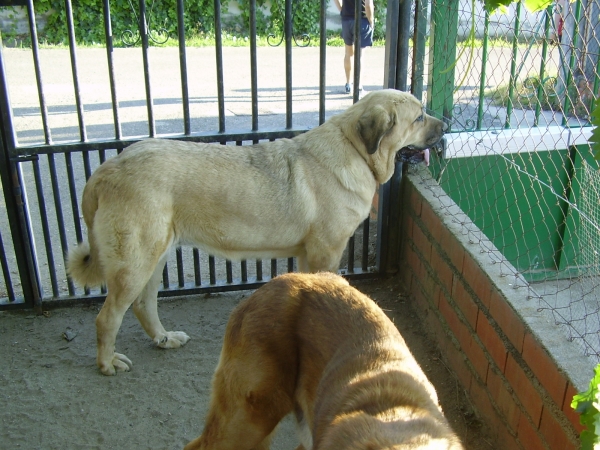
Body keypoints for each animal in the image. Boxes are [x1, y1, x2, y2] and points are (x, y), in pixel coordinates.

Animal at [68, 89, 448, 374]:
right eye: (419, 117)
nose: (445, 125)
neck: (355, 149)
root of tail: (105, 170)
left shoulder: (309, 255)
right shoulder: (326, 252)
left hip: (153, 258)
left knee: (143, 305)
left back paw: (163, 339)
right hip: (134, 264)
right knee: (107, 318)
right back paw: (107, 363)